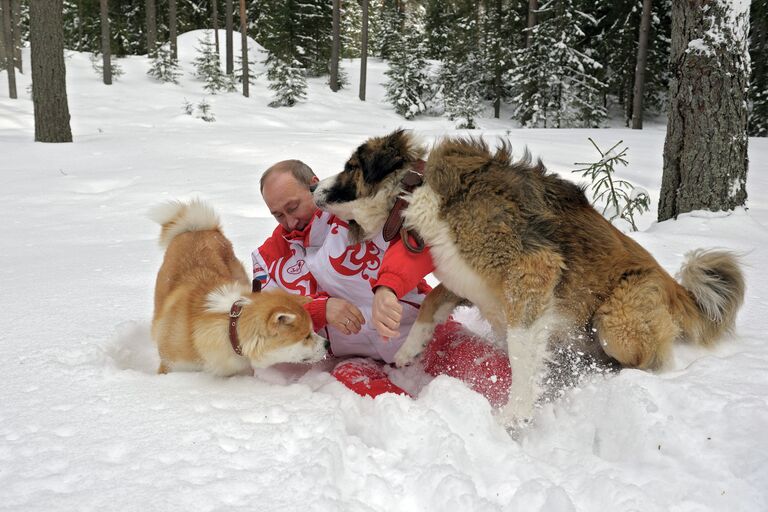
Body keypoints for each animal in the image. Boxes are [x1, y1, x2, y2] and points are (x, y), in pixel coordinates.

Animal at [150, 199, 328, 376]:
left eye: (312, 330)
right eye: (306, 336)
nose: (327, 343)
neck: (230, 328)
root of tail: (197, 230)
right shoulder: (171, 366)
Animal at [312, 129, 744, 424]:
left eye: (350, 167)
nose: (315, 185)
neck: (417, 192)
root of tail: (675, 288)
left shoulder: (531, 271)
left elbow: (521, 350)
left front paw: (514, 415)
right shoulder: (465, 277)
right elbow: (431, 302)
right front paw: (407, 349)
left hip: (617, 319)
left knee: (651, 359)